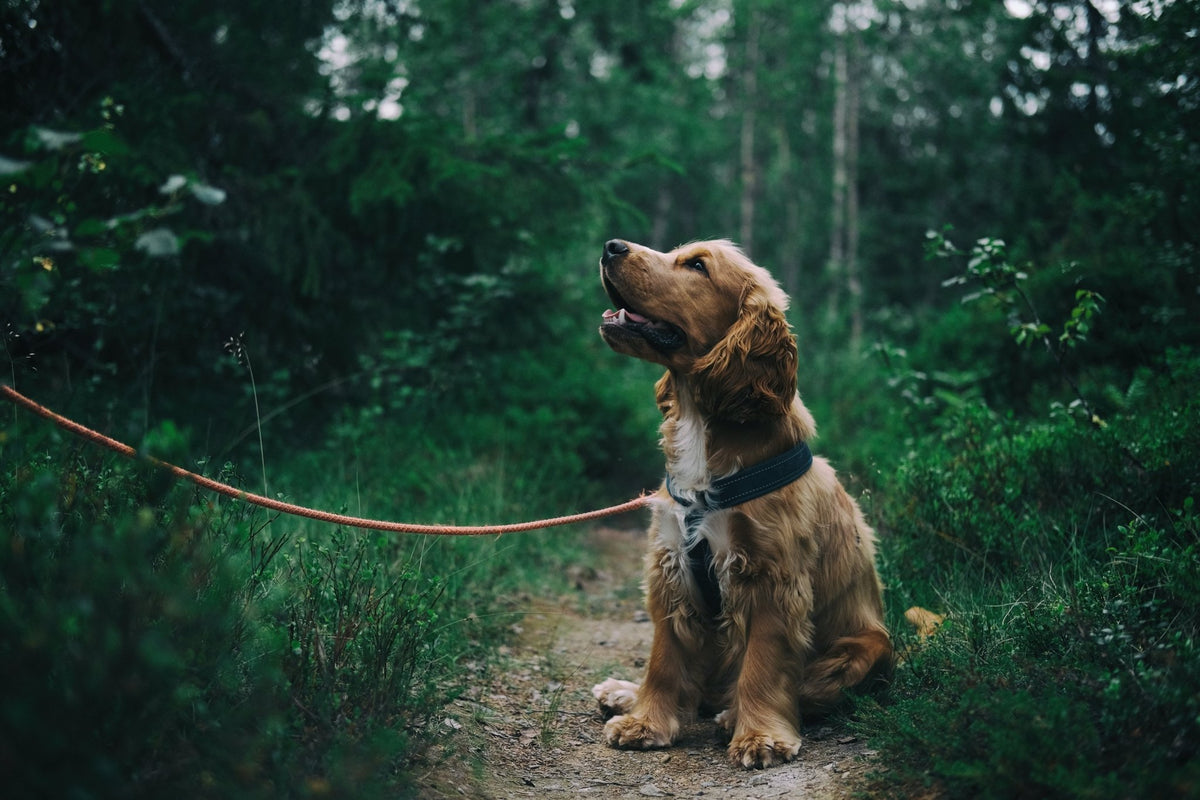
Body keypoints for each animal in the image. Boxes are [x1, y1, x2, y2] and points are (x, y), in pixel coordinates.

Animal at [590, 237, 892, 767]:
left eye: (696, 265)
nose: (611, 246)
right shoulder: (672, 565)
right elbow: (664, 659)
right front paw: (646, 721)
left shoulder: (771, 576)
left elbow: (763, 665)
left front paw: (759, 736)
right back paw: (625, 692)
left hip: (867, 646)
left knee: (802, 689)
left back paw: (732, 715)